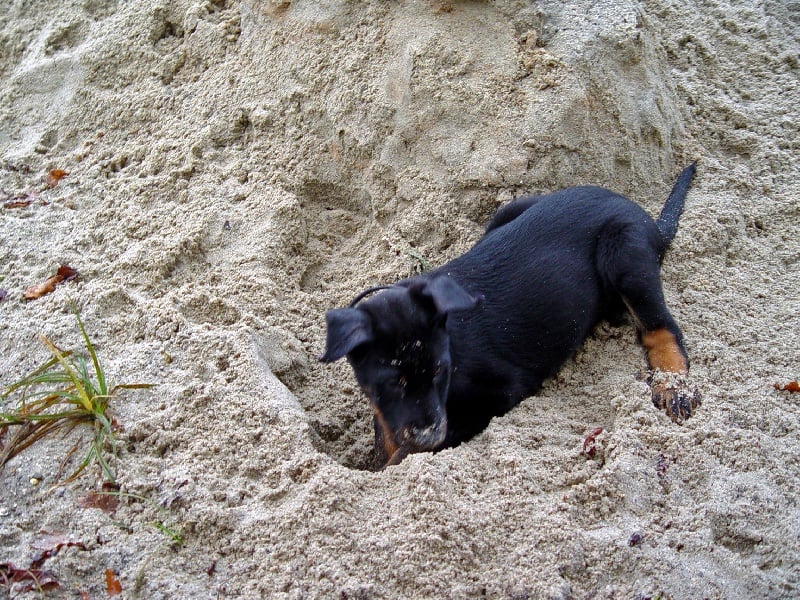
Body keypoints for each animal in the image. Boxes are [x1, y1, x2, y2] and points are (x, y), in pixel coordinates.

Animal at [322, 164, 696, 468]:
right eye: (393, 382)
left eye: (440, 370)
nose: (429, 434)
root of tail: (644, 216)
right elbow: (386, 429)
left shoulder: (501, 392)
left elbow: (417, 446)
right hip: (508, 211)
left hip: (624, 252)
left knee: (660, 326)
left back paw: (673, 386)